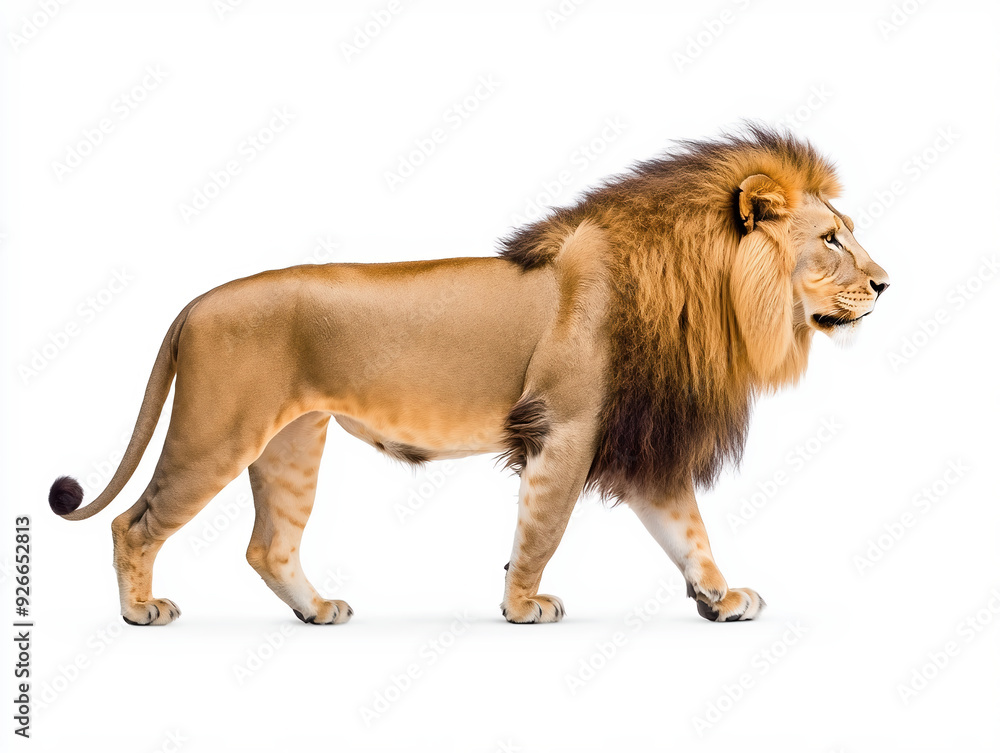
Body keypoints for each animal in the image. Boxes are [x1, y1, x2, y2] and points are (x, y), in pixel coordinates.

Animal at [49, 126, 889, 626]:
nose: (886, 283)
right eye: (833, 239)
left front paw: (719, 595)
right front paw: (523, 606)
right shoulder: (567, 427)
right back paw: (140, 612)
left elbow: (688, 529)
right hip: (216, 430)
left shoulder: (636, 437)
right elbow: (543, 527)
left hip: (291, 441)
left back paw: (316, 610)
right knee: (134, 522)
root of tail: (192, 304)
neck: (708, 294)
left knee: (269, 545)